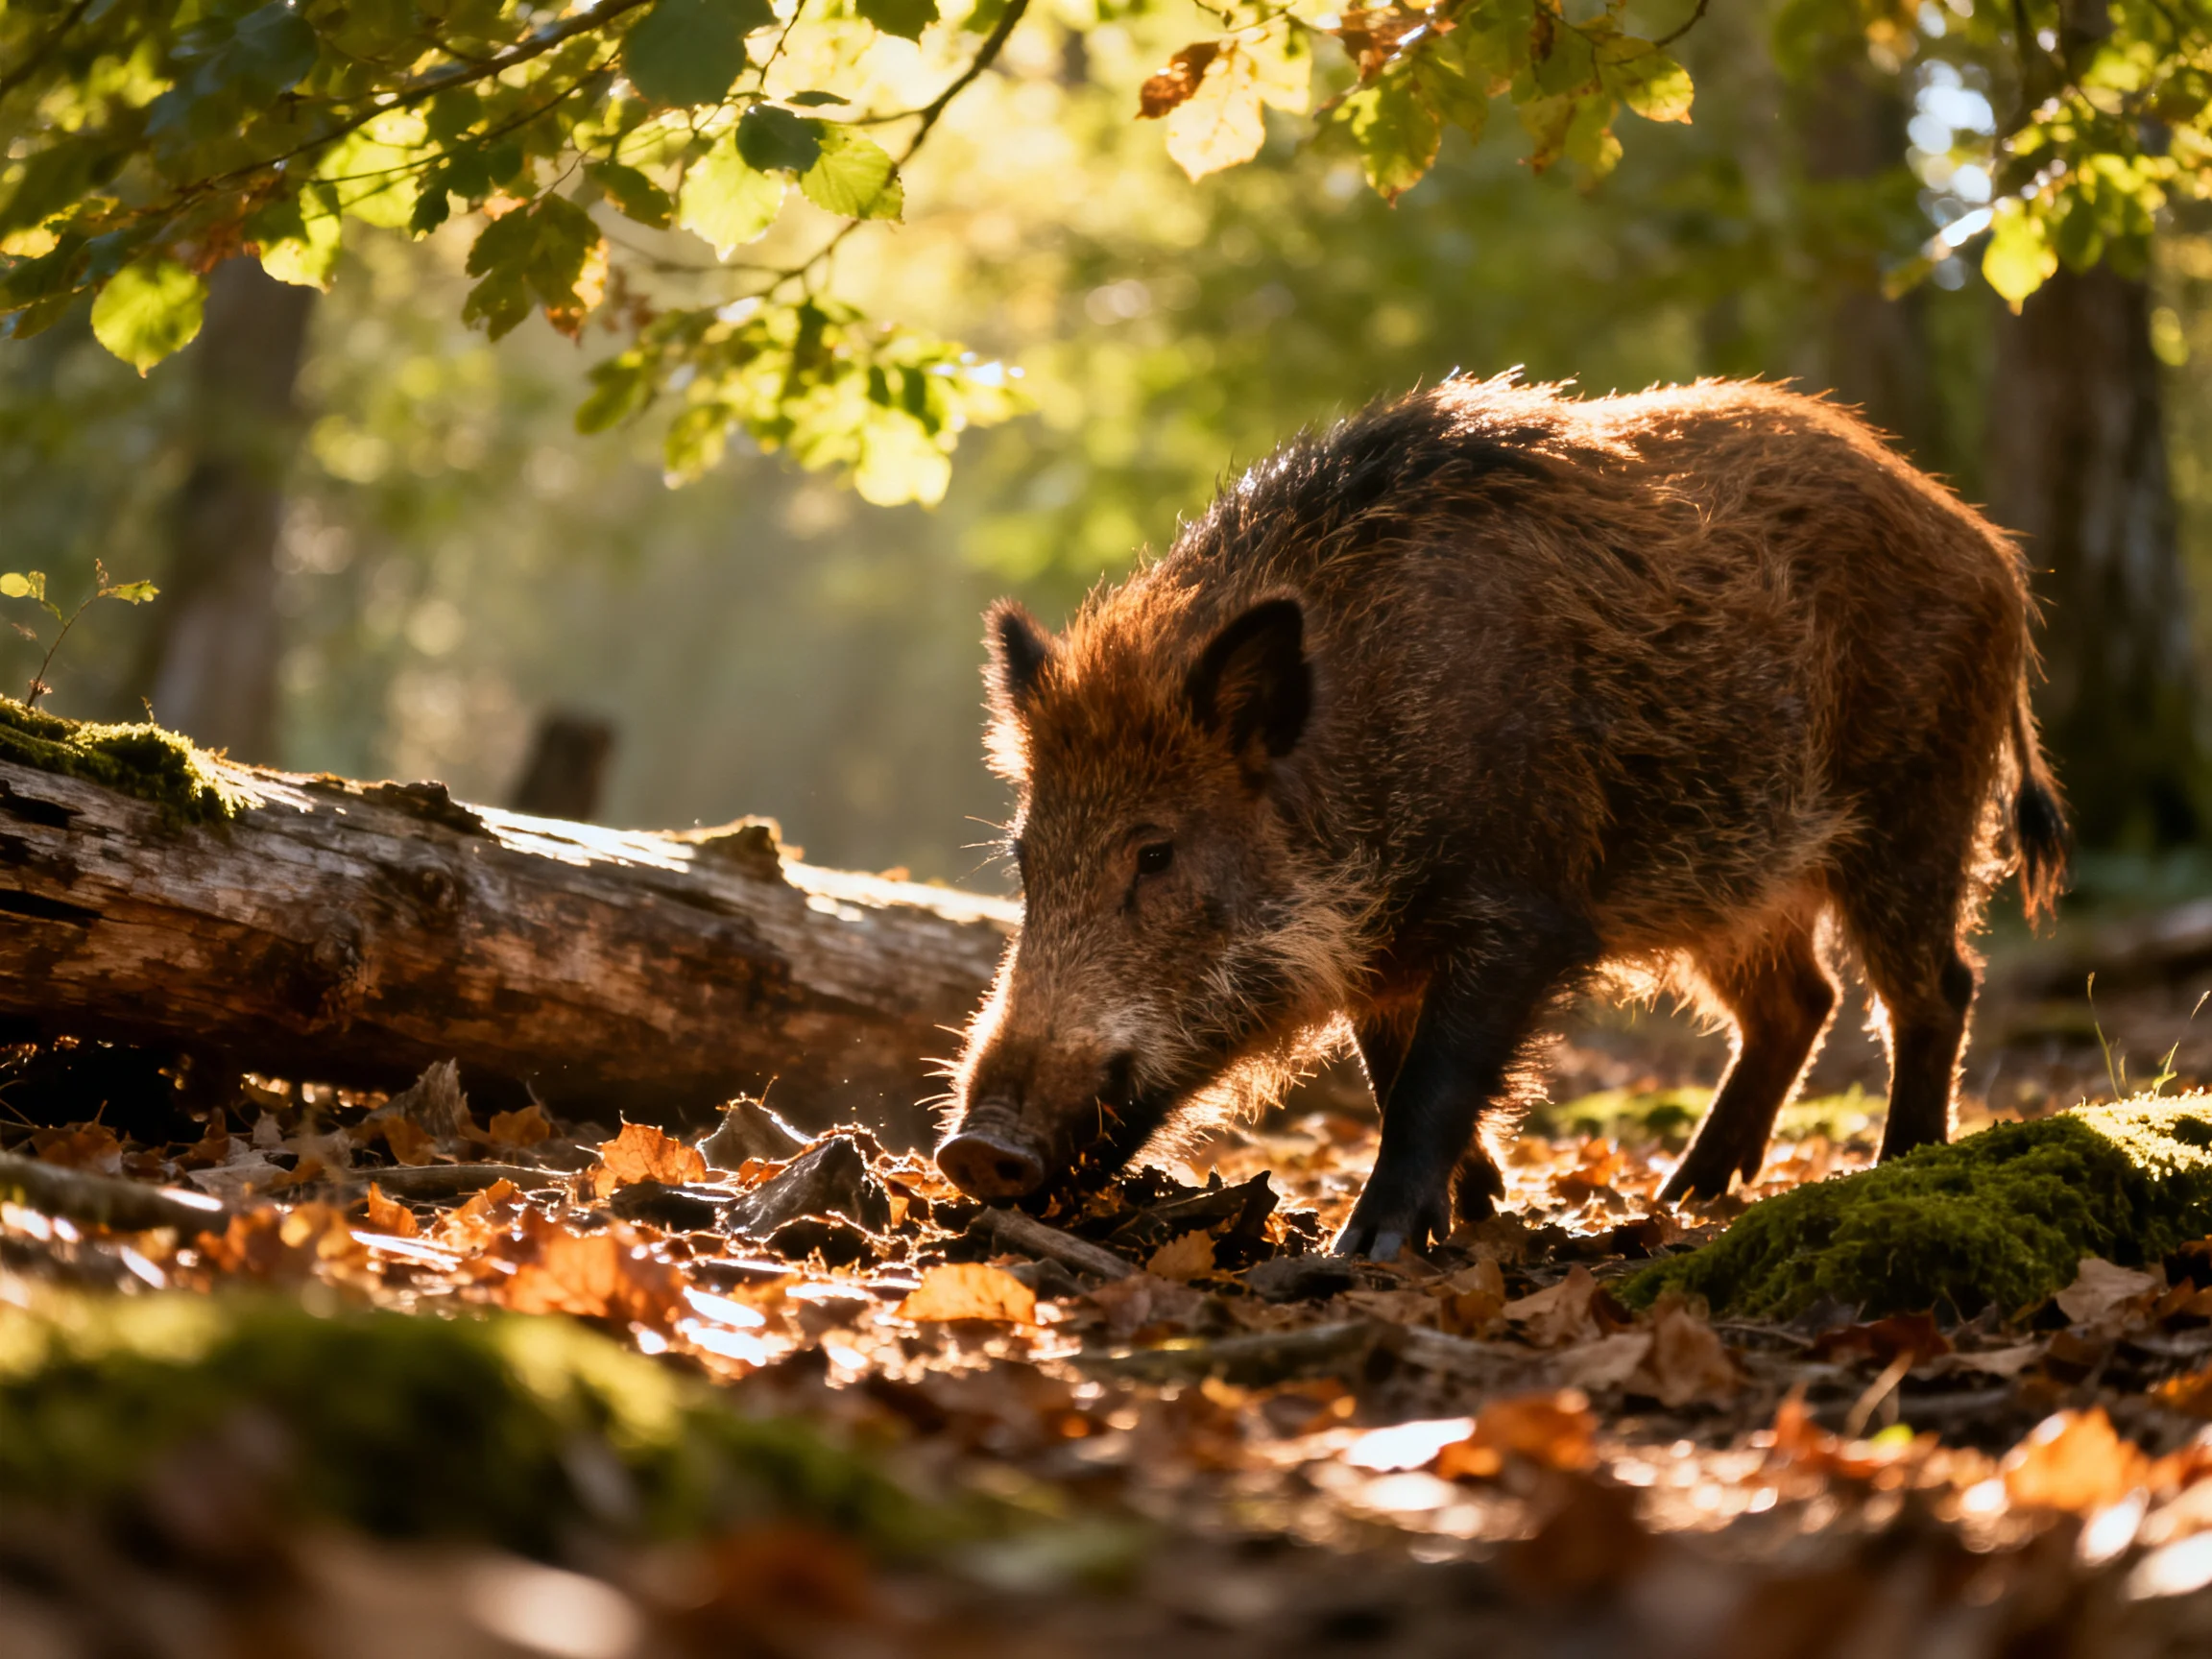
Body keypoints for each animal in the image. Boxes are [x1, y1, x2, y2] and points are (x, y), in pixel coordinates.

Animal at [935, 374, 2068, 1258]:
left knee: (1934, 987)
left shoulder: (1523, 909)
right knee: (1800, 1001)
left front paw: (1372, 1246)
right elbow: (1387, 1070)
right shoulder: (1383, 954)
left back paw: (1901, 1164)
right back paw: (1687, 1193)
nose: (973, 1150)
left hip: (1916, 811)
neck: (1368, 747)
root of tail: (1991, 550)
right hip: (1738, 877)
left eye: (1156, 853)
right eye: (1025, 859)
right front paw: (1474, 1208)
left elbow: (1434, 1078)